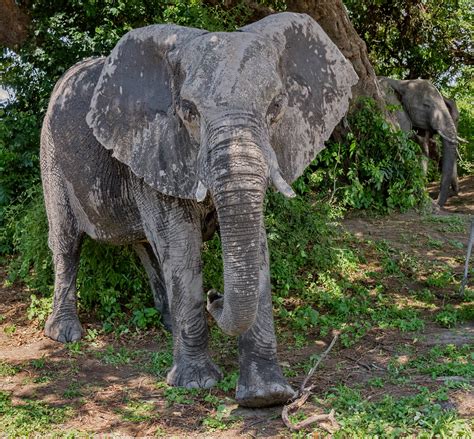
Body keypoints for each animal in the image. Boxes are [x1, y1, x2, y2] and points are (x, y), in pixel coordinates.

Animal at [40, 11, 358, 410]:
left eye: (277, 107)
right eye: (188, 112)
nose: (214, 297)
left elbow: (255, 243)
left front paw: (266, 396)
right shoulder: (157, 144)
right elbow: (180, 242)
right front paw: (197, 383)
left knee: (147, 248)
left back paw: (167, 325)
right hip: (51, 153)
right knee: (67, 242)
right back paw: (65, 334)